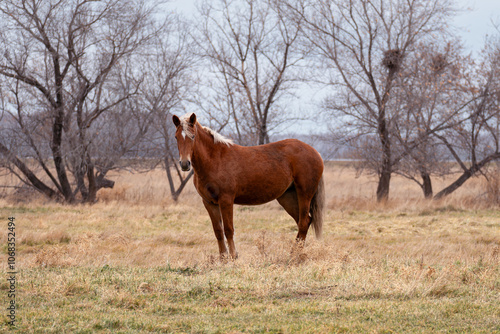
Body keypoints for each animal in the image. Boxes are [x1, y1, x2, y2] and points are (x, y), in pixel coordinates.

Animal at [174, 112, 326, 258]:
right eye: (176, 137)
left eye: (193, 136)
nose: (185, 164)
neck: (215, 159)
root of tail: (316, 152)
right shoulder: (209, 203)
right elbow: (218, 231)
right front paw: (223, 259)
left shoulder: (226, 200)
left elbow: (228, 230)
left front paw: (233, 257)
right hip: (287, 197)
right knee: (304, 221)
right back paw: (293, 254)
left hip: (304, 194)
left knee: (303, 222)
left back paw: (295, 256)